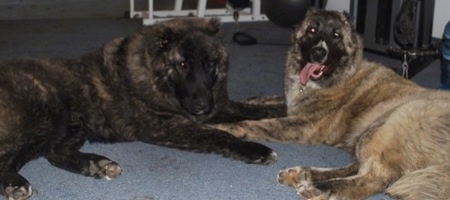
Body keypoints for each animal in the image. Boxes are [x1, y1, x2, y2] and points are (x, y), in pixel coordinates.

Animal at [0, 18, 284, 199]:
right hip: (48, 118)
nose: (202, 106)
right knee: (11, 157)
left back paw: (97, 165)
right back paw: (15, 183)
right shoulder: (165, 127)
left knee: (55, 153)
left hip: (73, 125)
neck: (156, 78)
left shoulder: (217, 108)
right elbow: (219, 134)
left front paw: (284, 106)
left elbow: (256, 107)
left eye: (210, 62)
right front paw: (254, 149)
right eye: (183, 64)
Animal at [214, 8, 450, 199]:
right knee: (357, 167)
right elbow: (258, 101)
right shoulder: (291, 105)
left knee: (374, 178)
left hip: (386, 124)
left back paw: (321, 189)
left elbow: (256, 123)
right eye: (312, 30)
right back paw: (302, 175)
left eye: (336, 35)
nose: (319, 53)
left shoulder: (303, 125)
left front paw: (222, 128)